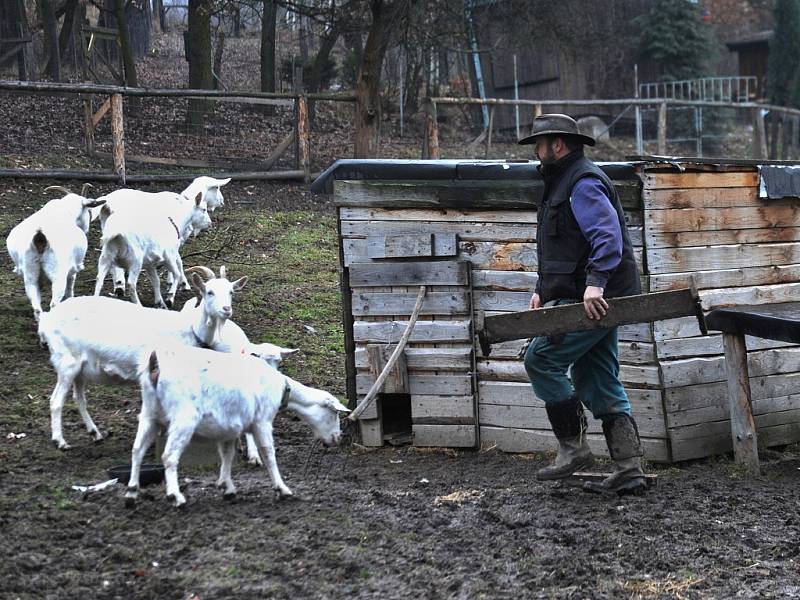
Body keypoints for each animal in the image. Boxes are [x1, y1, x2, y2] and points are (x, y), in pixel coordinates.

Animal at [5, 188, 104, 322]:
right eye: (88, 211)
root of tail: (40, 237)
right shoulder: (72, 268)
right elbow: (70, 286)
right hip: (57, 272)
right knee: (54, 303)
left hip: (30, 272)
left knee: (36, 305)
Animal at [38, 268, 244, 450]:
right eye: (209, 292)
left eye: (231, 292)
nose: (227, 309)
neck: (189, 329)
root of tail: (47, 321)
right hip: (66, 362)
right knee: (56, 400)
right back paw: (60, 441)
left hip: (80, 368)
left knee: (79, 398)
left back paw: (95, 433)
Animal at [126, 346, 348, 506]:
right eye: (334, 413)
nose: (338, 438)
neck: (282, 389)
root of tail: (155, 367)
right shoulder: (262, 421)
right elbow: (268, 453)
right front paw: (282, 489)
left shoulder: (229, 427)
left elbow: (227, 454)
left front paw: (227, 487)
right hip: (183, 419)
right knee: (169, 457)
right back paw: (175, 496)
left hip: (150, 416)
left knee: (137, 450)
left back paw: (131, 493)